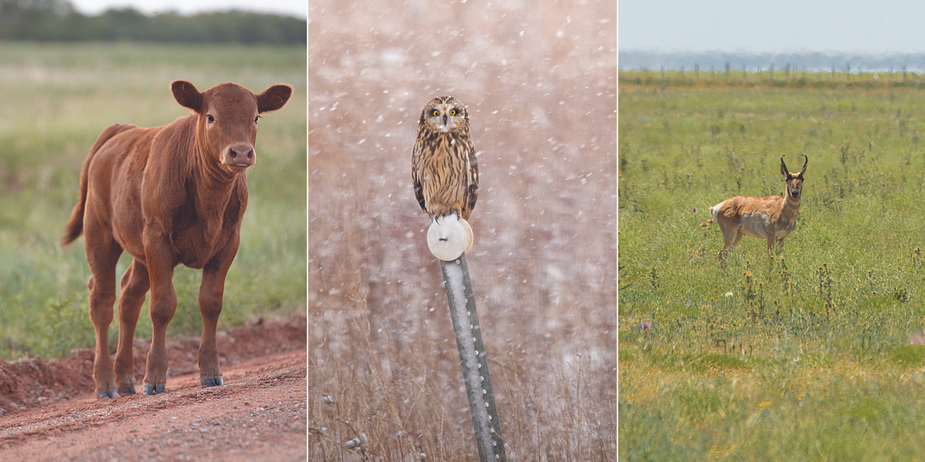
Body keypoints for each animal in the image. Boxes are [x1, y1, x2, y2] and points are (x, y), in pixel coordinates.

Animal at [63, 79, 292, 398]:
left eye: (256, 117)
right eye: (210, 117)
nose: (241, 152)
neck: (209, 199)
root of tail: (121, 129)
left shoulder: (228, 243)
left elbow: (211, 303)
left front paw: (210, 372)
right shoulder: (158, 240)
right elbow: (162, 306)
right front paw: (154, 377)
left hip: (140, 250)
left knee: (129, 298)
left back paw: (125, 380)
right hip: (100, 234)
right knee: (102, 302)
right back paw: (106, 383)